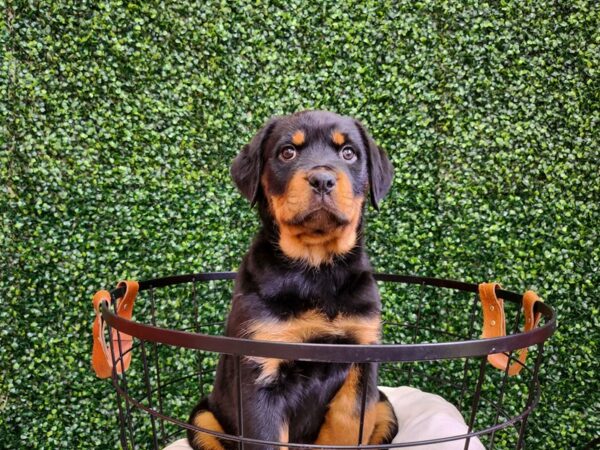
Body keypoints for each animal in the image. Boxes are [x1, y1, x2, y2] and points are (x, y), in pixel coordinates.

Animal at [189, 110, 398, 450]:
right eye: (287, 152)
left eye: (349, 153)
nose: (322, 179)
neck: (316, 269)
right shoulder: (261, 368)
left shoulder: (362, 359)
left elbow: (349, 420)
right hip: (203, 419)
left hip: (385, 406)